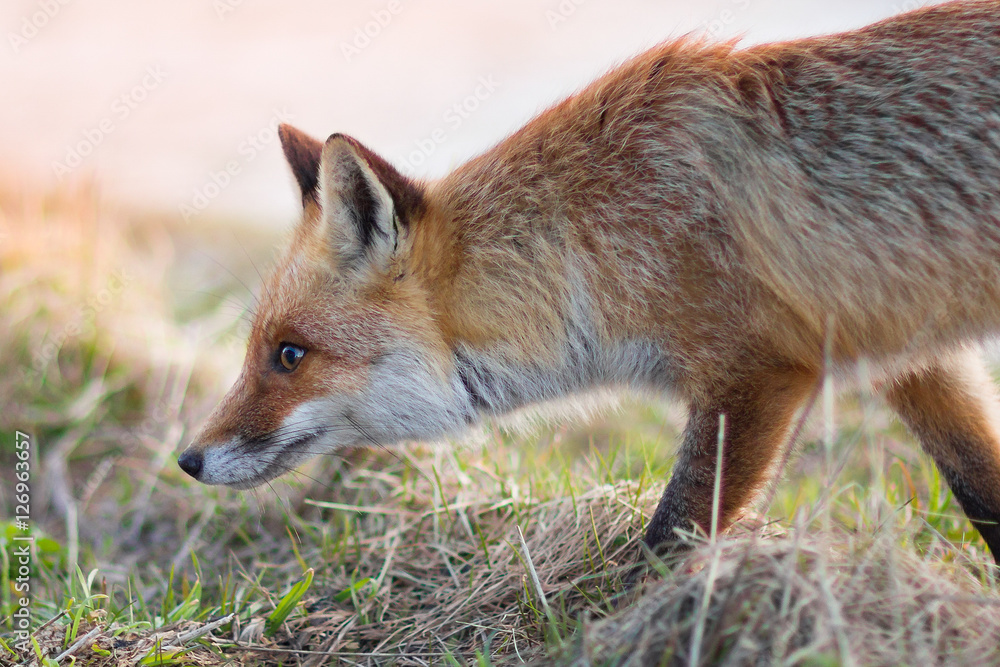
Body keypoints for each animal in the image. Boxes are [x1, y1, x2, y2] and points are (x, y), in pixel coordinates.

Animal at [178, 0, 1000, 564]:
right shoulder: (915, 353)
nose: (186, 459)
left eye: (289, 354)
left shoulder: (756, 373)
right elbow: (982, 492)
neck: (595, 237)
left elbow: (667, 537)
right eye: (259, 347)